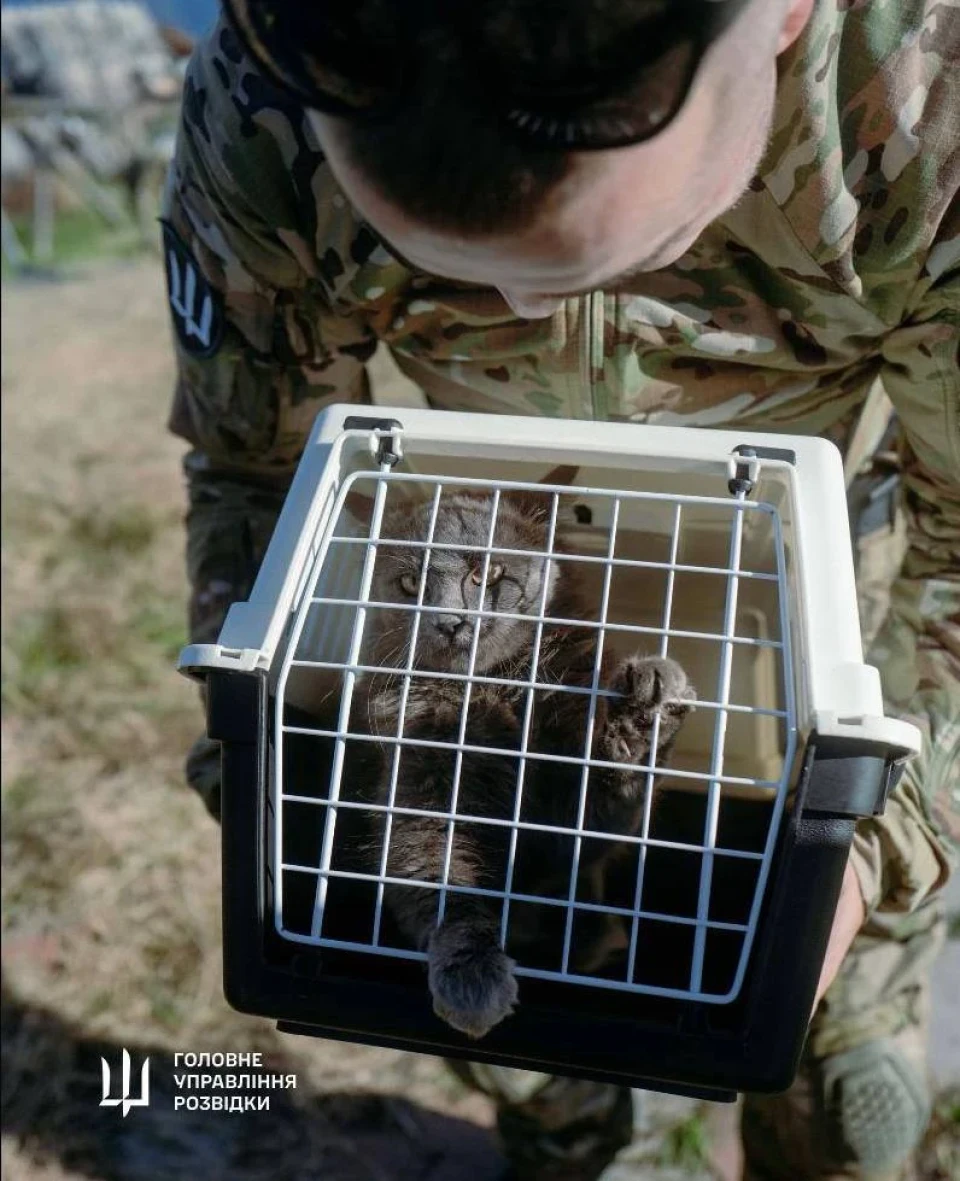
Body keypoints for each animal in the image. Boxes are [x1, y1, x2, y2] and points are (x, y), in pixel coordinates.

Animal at [347, 484, 694, 1039]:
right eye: (409, 583)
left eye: (487, 574)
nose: (450, 622)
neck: (492, 694)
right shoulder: (419, 795)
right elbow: (437, 877)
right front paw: (472, 981)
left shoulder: (566, 827)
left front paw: (645, 707)